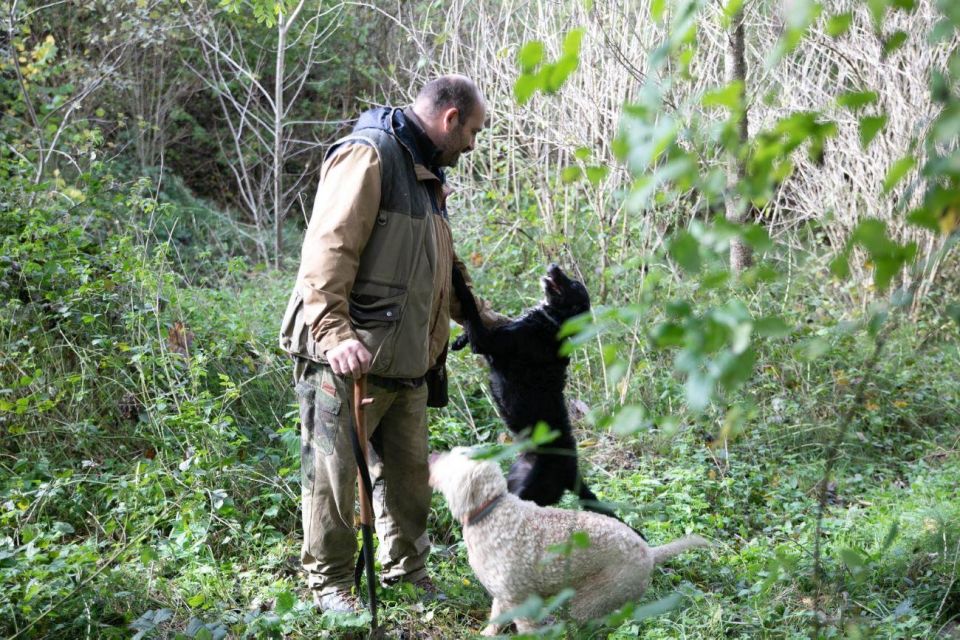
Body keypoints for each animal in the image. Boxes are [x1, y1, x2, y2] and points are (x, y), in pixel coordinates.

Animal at [432, 448, 708, 632]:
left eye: (452, 459)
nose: (432, 455)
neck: (492, 511)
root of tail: (649, 553)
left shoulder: (521, 601)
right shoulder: (504, 594)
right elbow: (495, 621)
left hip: (595, 598)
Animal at [452, 262, 624, 524]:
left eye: (573, 284)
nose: (554, 265)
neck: (552, 324)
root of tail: (572, 473)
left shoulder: (487, 341)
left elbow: (470, 306)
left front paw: (456, 276)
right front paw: (459, 339)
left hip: (530, 491)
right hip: (515, 480)